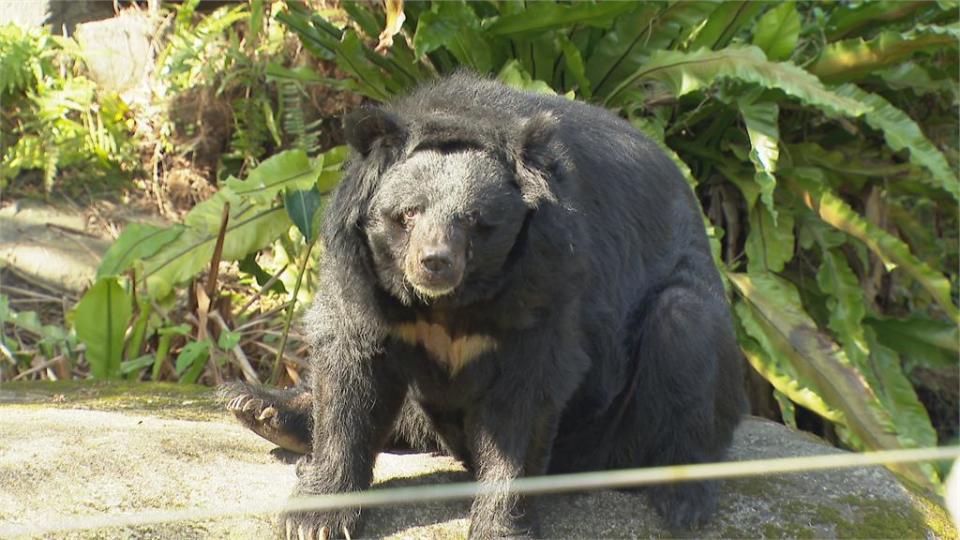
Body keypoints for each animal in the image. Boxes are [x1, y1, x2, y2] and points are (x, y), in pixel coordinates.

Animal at [223, 73, 744, 540]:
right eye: (408, 213)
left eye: (476, 222)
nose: (434, 262)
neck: (449, 302)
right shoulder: (361, 272)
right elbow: (352, 366)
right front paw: (315, 517)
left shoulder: (547, 272)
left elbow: (528, 397)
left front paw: (499, 526)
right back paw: (261, 409)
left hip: (639, 400)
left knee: (682, 326)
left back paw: (682, 496)